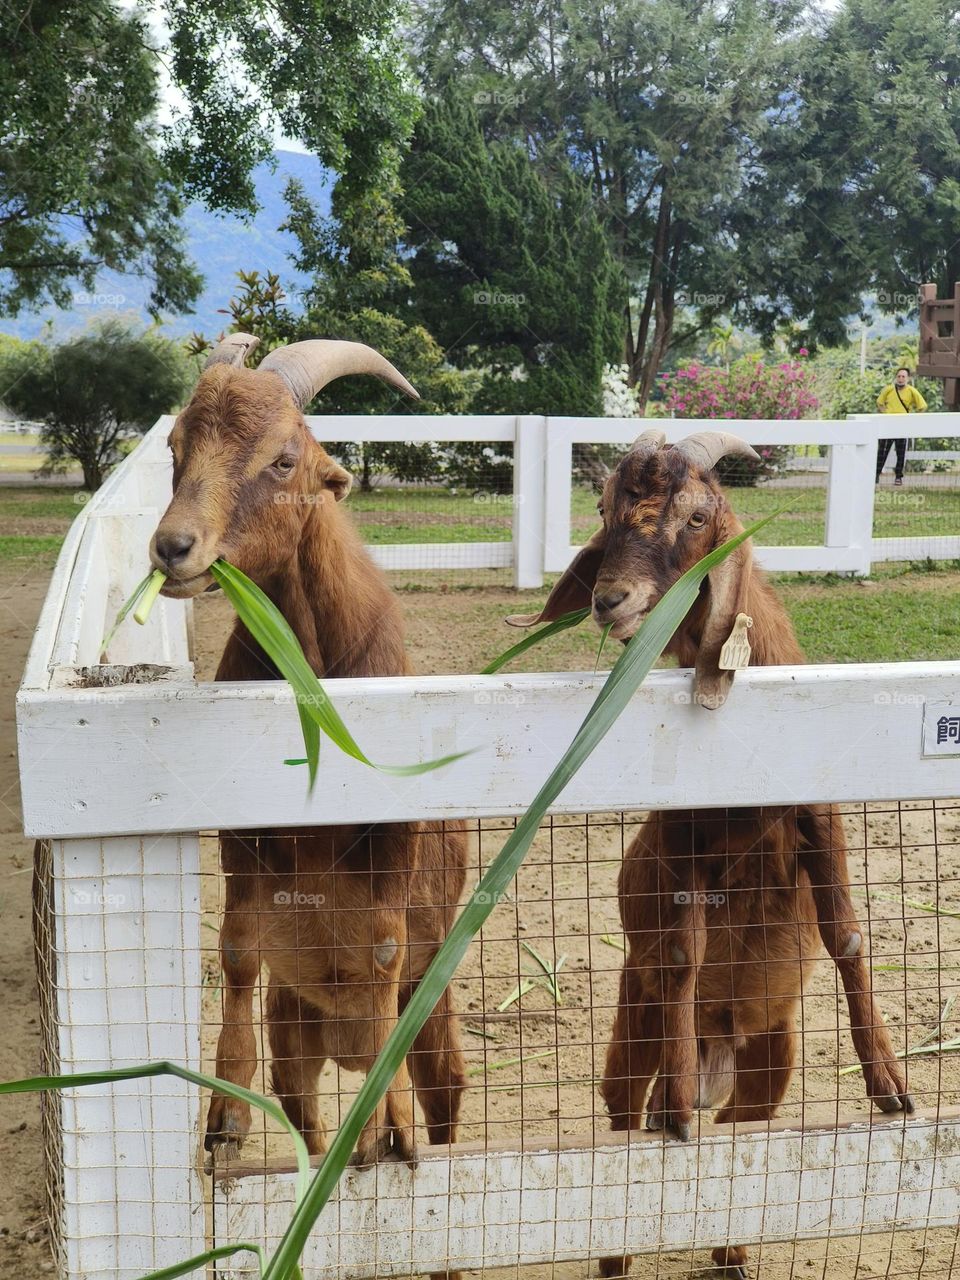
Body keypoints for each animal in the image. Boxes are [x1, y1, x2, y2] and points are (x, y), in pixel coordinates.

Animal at [150, 333, 467, 1171]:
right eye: (175, 448)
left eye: (283, 459)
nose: (173, 547)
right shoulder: (245, 830)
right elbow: (236, 950)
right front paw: (225, 1117)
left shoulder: (393, 832)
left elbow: (384, 950)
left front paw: (392, 1121)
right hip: (298, 1033)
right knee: (311, 1126)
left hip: (438, 1017)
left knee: (447, 1101)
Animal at [507, 429, 912, 1280]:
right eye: (605, 512)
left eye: (697, 516)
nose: (610, 599)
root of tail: (723, 1043)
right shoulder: (685, 835)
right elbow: (686, 951)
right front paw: (677, 1105)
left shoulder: (818, 808)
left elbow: (846, 934)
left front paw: (890, 1084)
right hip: (630, 1021)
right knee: (621, 1115)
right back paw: (625, 1232)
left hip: (773, 1052)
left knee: (744, 1129)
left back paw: (730, 1246)